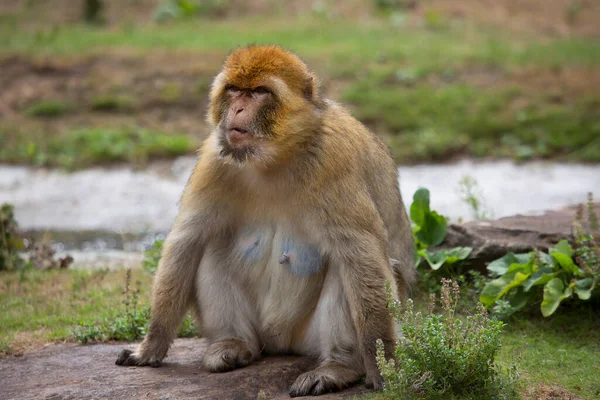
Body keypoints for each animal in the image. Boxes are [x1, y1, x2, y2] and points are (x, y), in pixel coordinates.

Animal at [117, 44, 418, 396]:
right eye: (234, 90)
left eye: (260, 92)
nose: (237, 109)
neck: (275, 157)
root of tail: (280, 342)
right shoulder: (214, 160)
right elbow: (187, 242)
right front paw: (150, 346)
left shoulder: (333, 159)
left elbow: (362, 256)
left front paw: (383, 364)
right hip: (261, 331)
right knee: (210, 247)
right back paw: (233, 344)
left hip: (307, 336)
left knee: (347, 267)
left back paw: (338, 366)